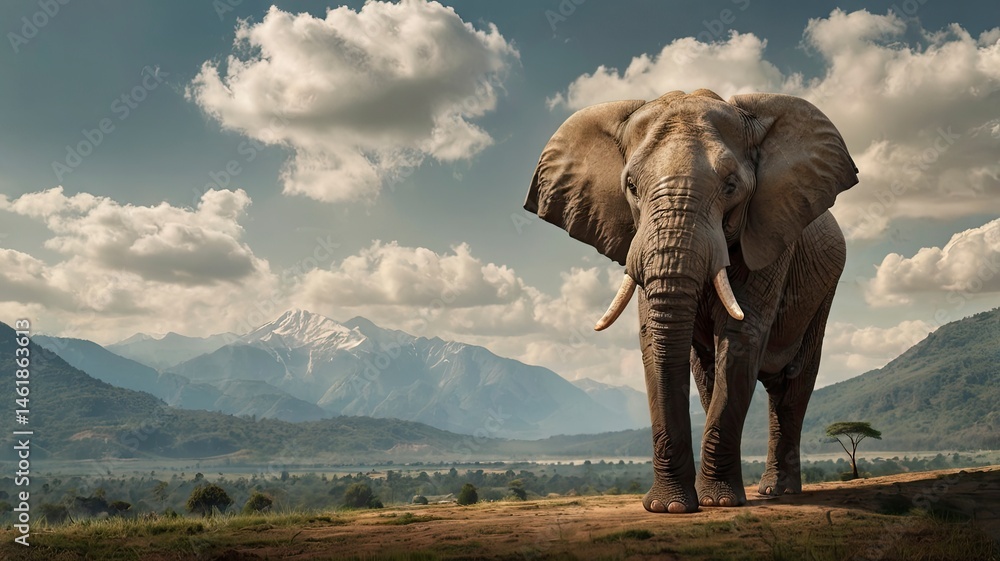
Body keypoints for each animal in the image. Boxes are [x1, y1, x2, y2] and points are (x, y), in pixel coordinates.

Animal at [524, 89, 858, 513]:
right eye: (631, 185)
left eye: (731, 185)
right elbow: (654, 340)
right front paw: (670, 507)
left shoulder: (769, 235)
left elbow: (741, 337)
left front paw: (716, 503)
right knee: (713, 375)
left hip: (825, 288)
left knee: (793, 385)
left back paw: (778, 492)